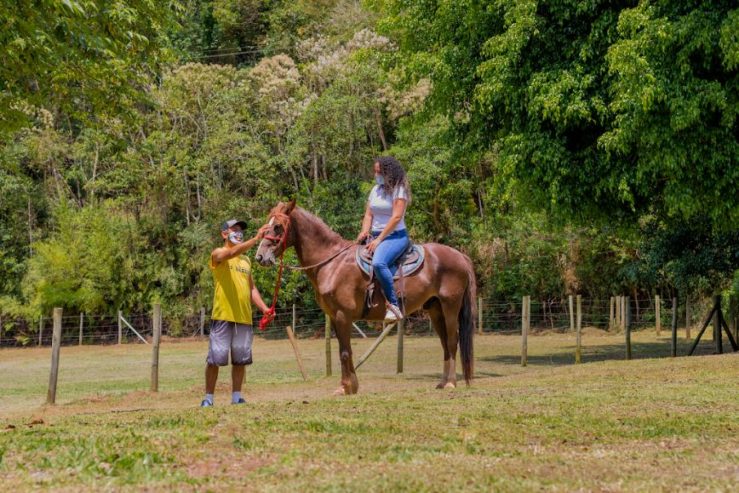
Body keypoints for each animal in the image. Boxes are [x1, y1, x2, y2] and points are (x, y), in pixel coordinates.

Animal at [258, 201, 476, 396]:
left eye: (278, 226)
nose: (260, 256)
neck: (332, 263)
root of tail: (460, 256)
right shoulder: (335, 317)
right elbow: (343, 351)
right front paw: (348, 386)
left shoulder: (343, 316)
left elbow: (345, 352)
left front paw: (347, 387)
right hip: (435, 309)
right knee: (445, 343)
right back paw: (443, 382)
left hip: (450, 307)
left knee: (452, 340)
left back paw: (451, 383)